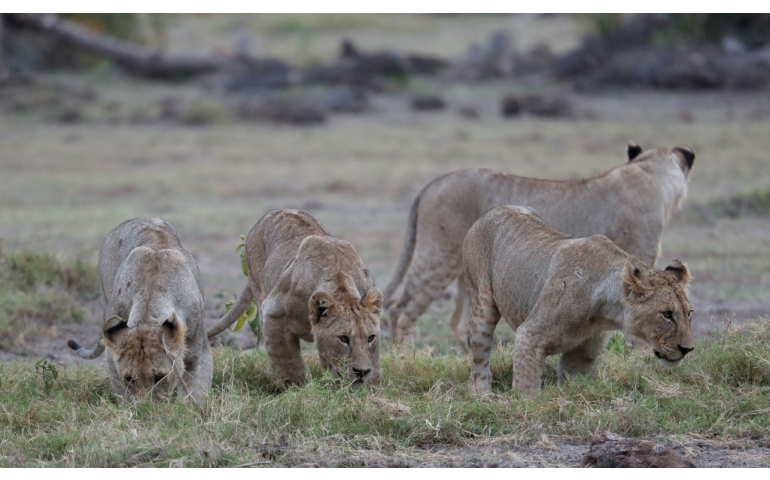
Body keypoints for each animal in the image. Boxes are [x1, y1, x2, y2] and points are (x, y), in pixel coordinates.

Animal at [67, 218, 213, 401]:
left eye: (159, 377)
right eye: (129, 379)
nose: (147, 406)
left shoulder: (199, 354)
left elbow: (194, 393)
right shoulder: (113, 358)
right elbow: (123, 392)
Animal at [207, 209, 383, 387]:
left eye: (370, 338)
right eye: (344, 338)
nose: (362, 371)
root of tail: (274, 211)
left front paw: (370, 387)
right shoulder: (274, 313)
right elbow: (289, 361)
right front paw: (300, 388)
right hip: (258, 288)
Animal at [384, 143, 696, 347]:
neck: (648, 171)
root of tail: (432, 183)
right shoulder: (639, 258)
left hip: (468, 269)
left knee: (458, 322)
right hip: (439, 255)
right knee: (401, 310)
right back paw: (408, 355)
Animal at [463, 206, 694, 395]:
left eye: (689, 313)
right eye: (667, 314)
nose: (688, 349)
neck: (604, 313)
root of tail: (493, 210)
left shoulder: (581, 356)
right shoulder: (528, 337)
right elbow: (527, 391)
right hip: (482, 305)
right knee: (479, 359)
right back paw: (482, 395)